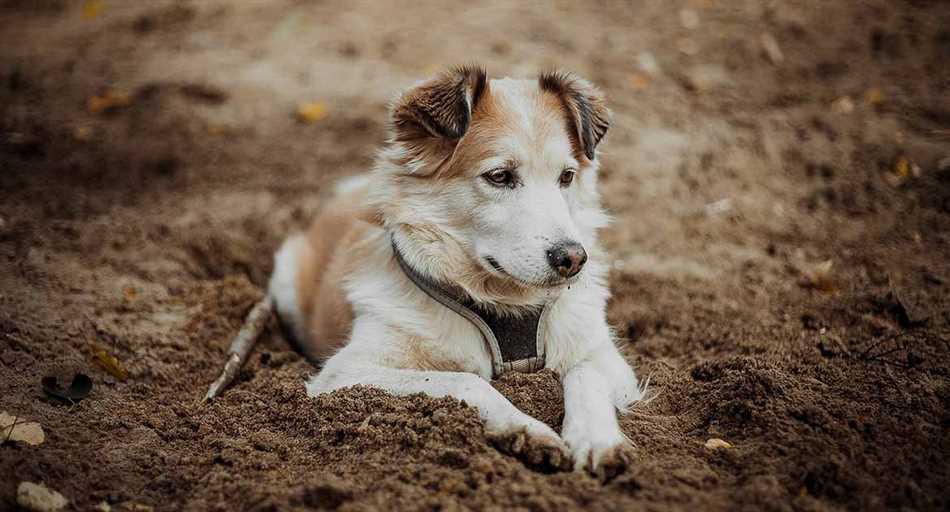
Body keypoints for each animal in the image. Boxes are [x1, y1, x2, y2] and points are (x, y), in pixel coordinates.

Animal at [272, 66, 652, 478]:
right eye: (499, 176)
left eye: (566, 176)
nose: (573, 259)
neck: (505, 301)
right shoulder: (346, 373)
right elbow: (467, 380)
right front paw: (525, 428)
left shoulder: (606, 358)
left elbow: (585, 374)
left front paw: (596, 439)